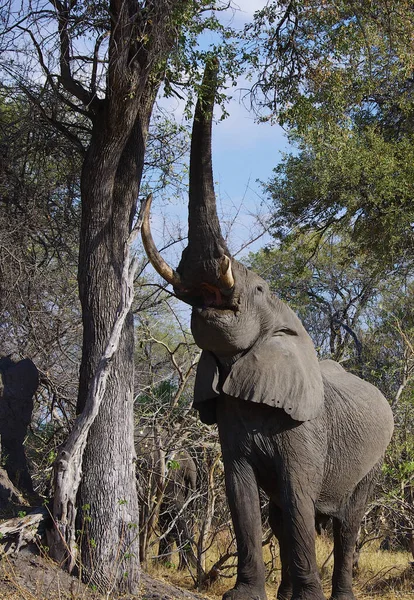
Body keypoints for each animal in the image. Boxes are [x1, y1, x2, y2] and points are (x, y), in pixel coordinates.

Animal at [140, 57, 394, 600]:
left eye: (257, 289)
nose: (213, 58)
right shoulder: (230, 417)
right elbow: (241, 493)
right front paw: (244, 596)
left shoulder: (306, 429)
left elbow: (298, 498)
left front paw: (307, 599)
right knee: (280, 514)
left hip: (375, 456)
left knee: (347, 521)